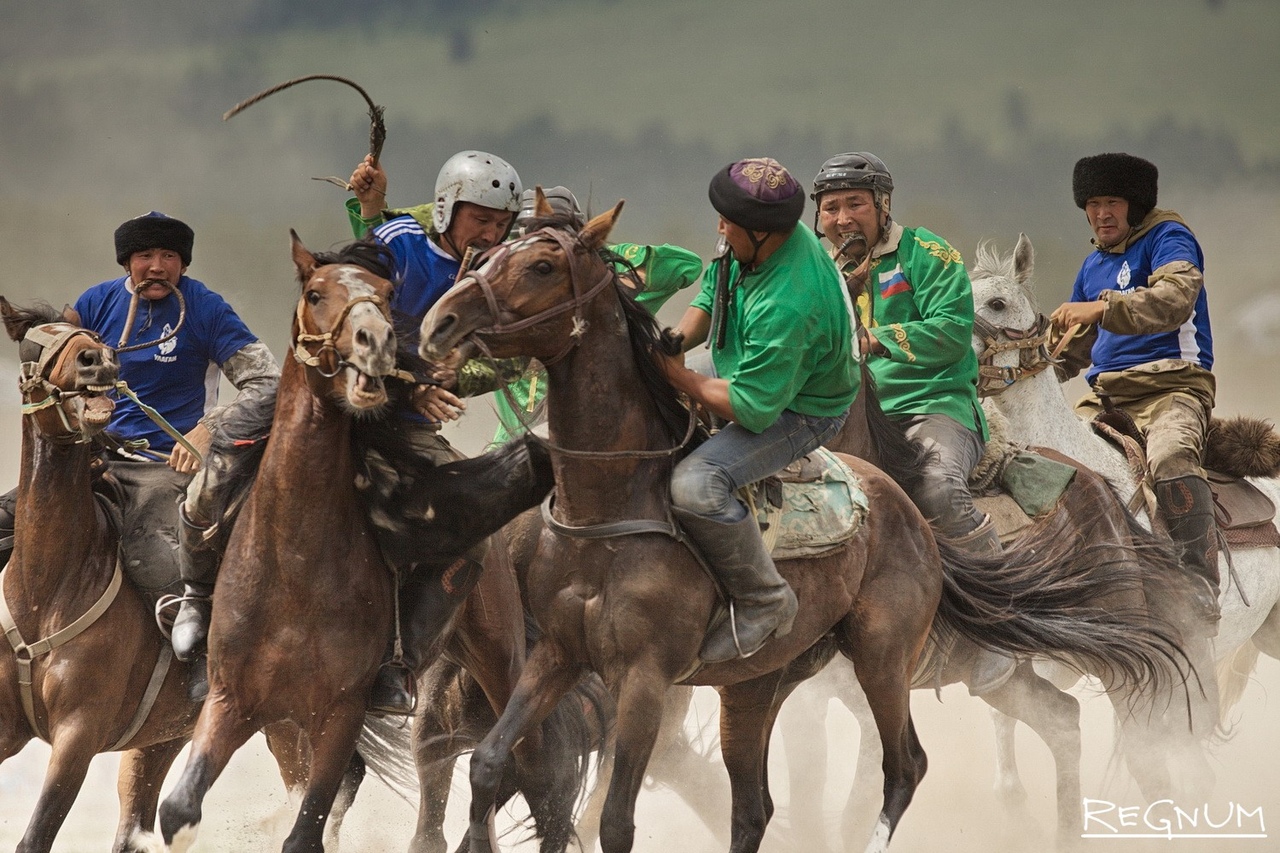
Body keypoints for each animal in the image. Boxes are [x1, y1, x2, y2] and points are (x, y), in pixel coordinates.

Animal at [0, 298, 198, 850]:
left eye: (92, 337)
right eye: (34, 341)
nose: (97, 362)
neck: (48, 588)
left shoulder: (78, 735)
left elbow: (35, 835)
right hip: (162, 739)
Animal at [156, 234, 588, 850]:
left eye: (385, 295)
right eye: (316, 293)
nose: (377, 343)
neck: (294, 564)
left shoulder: (339, 716)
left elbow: (306, 830)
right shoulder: (230, 701)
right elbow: (178, 812)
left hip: (500, 662)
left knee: (539, 769)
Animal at [417, 201, 1187, 850]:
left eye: (542, 266)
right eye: (490, 253)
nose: (437, 325)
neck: (619, 504)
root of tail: (1104, 490)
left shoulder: (649, 679)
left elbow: (618, 817)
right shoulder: (561, 657)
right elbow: (495, 766)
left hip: (901, 661)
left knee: (934, 763)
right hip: (770, 683)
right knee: (1053, 725)